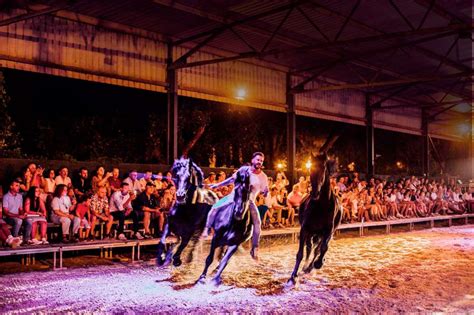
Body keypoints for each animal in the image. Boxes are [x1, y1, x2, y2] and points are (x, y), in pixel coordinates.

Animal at [286, 135, 342, 288]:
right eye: (310, 168)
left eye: (324, 168)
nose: (315, 192)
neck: (321, 206)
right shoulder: (305, 229)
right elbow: (300, 253)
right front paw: (293, 276)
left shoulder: (328, 231)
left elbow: (323, 248)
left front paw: (317, 263)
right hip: (312, 233)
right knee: (310, 248)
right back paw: (306, 267)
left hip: (323, 233)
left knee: (317, 248)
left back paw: (312, 265)